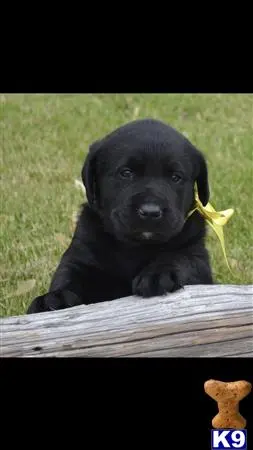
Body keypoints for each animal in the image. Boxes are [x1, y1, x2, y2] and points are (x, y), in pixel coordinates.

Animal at [27, 118, 213, 312]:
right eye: (126, 173)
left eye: (176, 177)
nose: (150, 211)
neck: (136, 247)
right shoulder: (81, 255)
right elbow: (66, 274)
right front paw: (54, 298)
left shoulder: (197, 255)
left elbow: (182, 259)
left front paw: (159, 274)